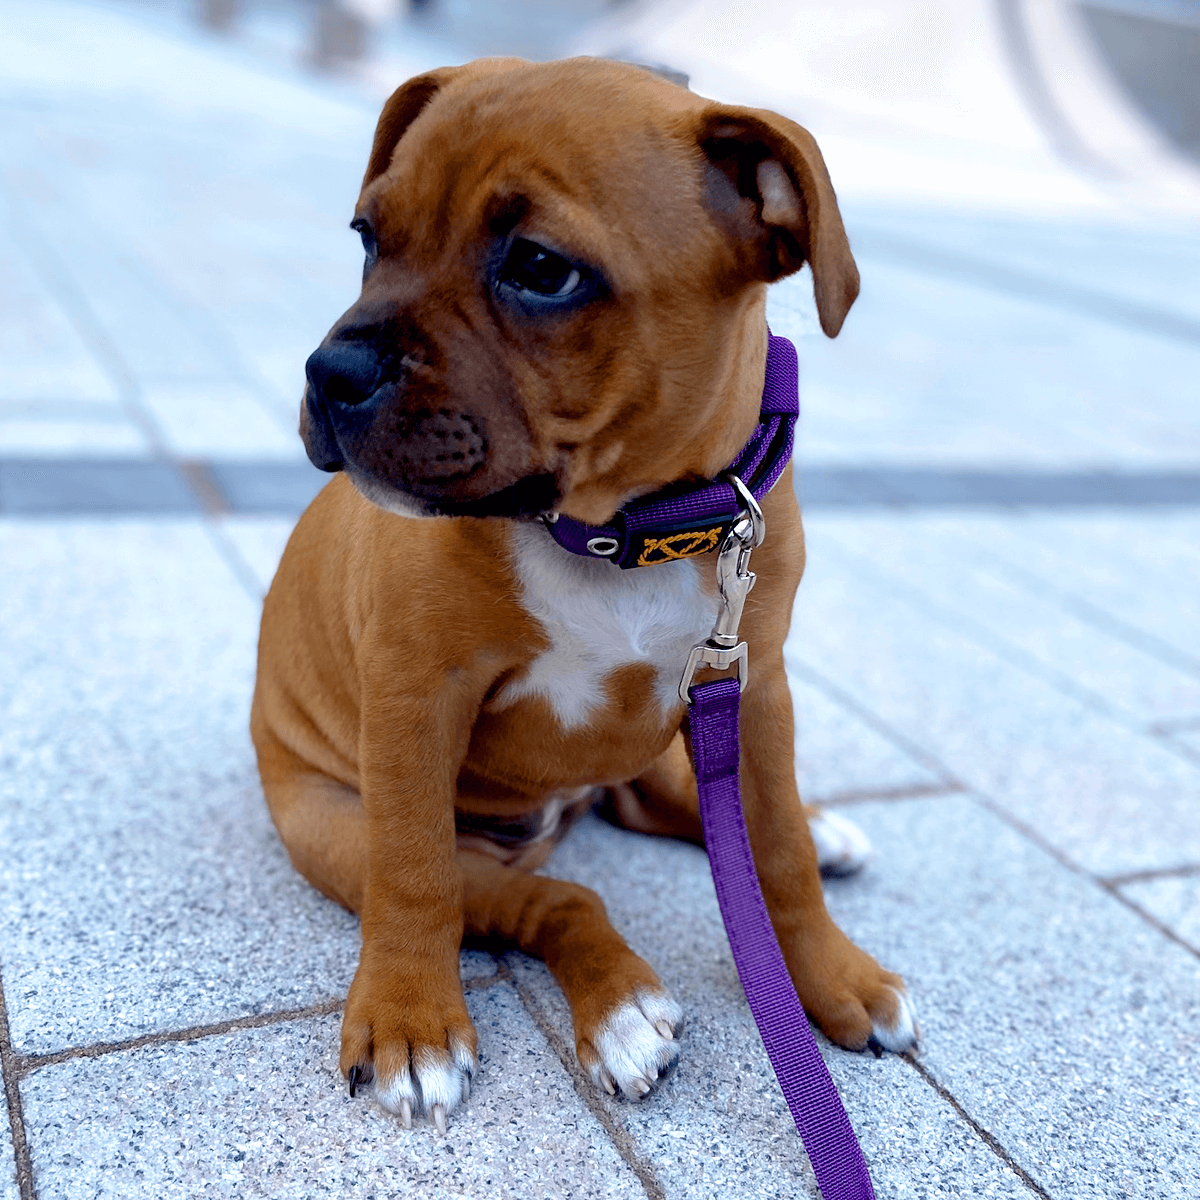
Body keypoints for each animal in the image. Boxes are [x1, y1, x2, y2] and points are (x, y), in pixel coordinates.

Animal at [248, 56, 912, 1128]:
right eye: (369, 238)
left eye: (540, 268)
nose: (329, 370)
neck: (622, 529)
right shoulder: (415, 698)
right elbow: (414, 874)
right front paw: (408, 1022)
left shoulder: (754, 687)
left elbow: (775, 855)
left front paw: (830, 974)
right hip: (339, 827)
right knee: (549, 901)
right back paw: (622, 1009)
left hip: (668, 746)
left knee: (684, 814)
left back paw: (824, 834)